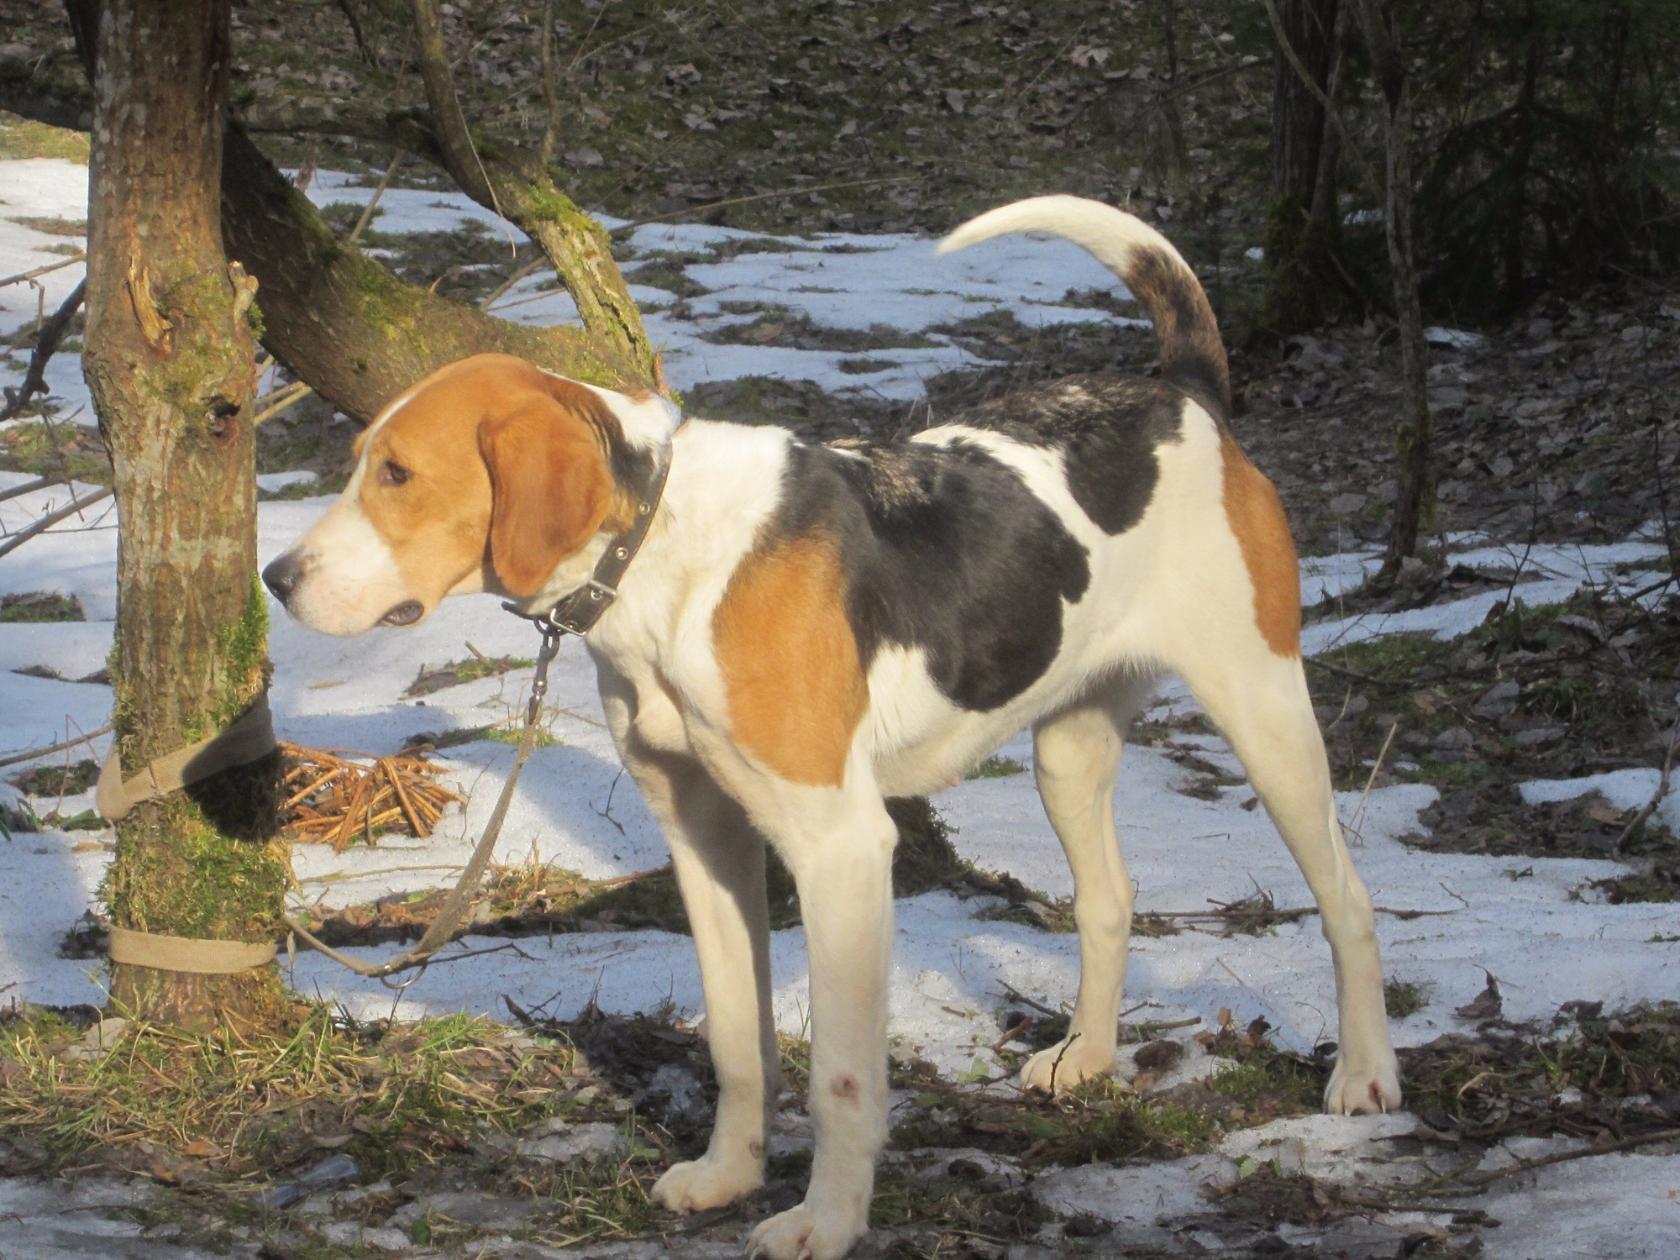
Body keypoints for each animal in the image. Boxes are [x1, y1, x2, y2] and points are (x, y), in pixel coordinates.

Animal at [264, 196, 1402, 1260]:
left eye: (397, 475)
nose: (276, 578)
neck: (663, 548)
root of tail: (1182, 395)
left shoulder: (840, 847)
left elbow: (844, 1079)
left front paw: (827, 1221)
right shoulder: (705, 839)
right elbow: (737, 1040)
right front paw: (728, 1175)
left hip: (1264, 709)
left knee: (1347, 898)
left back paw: (1365, 1076)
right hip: (1069, 749)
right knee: (1109, 902)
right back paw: (1084, 1058)